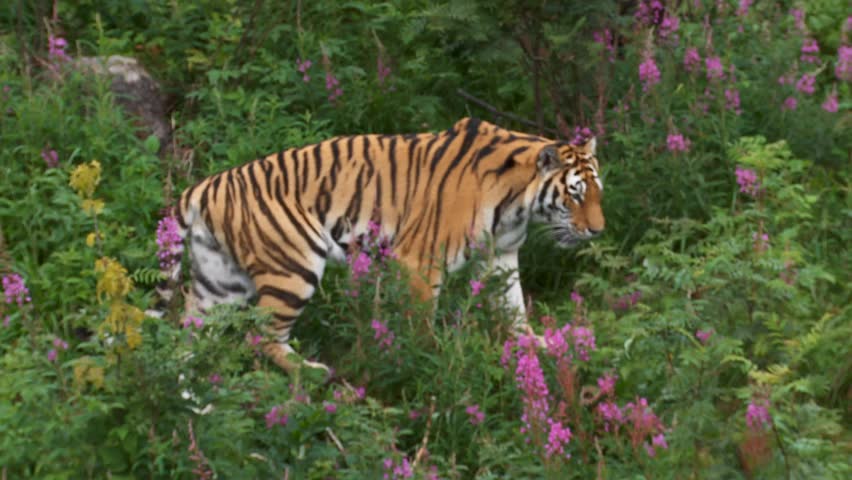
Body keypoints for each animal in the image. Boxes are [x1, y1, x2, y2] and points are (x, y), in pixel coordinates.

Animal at [159, 117, 604, 373]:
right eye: (575, 194)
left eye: (597, 192)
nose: (598, 231)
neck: (518, 204)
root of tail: (204, 186)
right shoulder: (419, 261)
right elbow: (420, 321)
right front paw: (428, 361)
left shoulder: (500, 257)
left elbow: (514, 310)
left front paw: (540, 346)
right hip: (294, 266)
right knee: (262, 336)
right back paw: (311, 373)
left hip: (219, 283)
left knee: (189, 334)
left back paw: (184, 387)